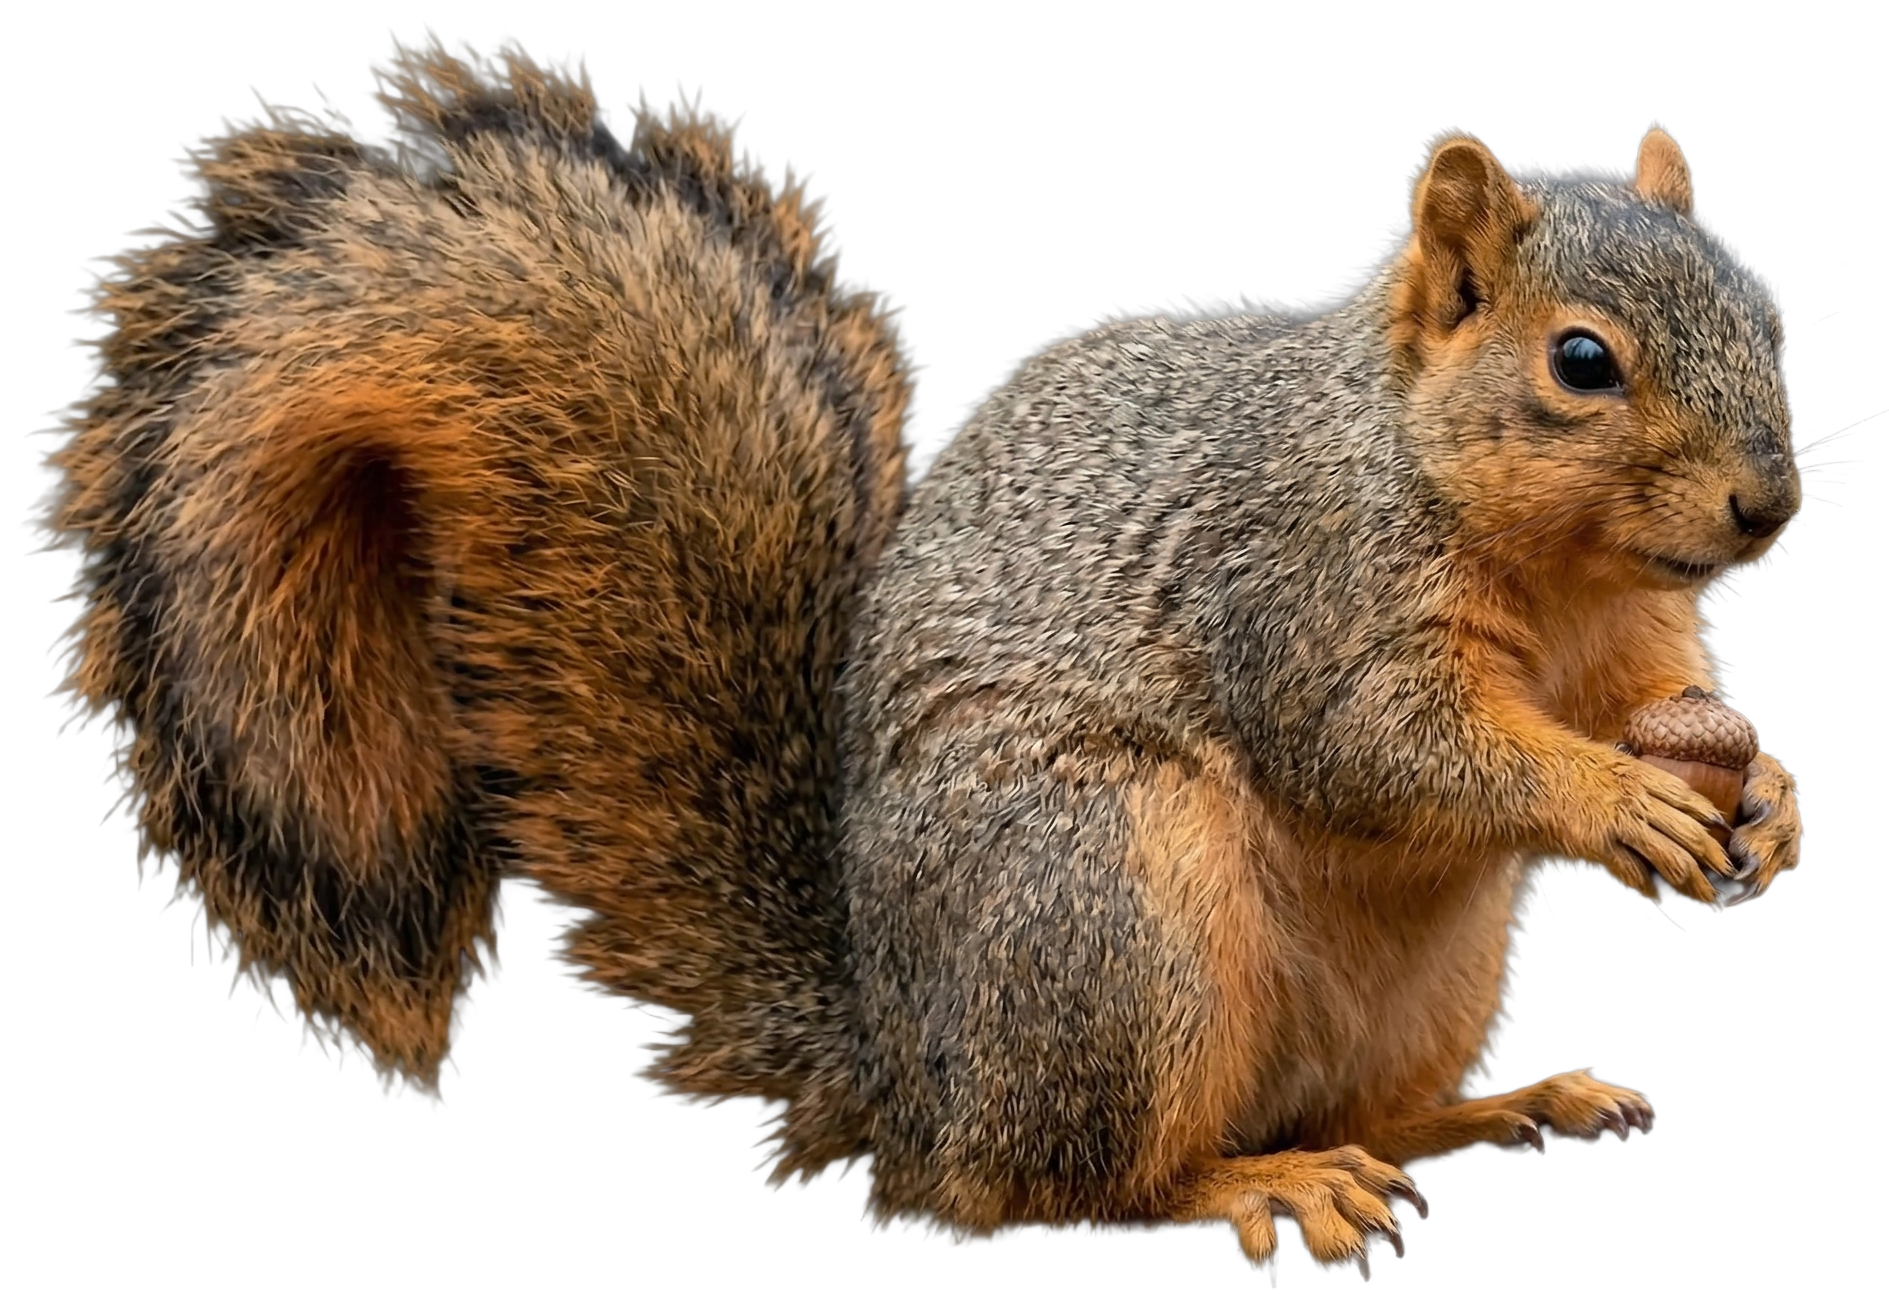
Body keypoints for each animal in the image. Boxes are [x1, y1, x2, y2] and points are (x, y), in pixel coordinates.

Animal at [39, 39, 1806, 1275]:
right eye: (1580, 361)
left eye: (1771, 319)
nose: (1767, 501)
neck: (1547, 557)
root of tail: (907, 1076)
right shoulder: (1294, 588)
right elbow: (1382, 738)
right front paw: (1611, 800)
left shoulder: (1637, 639)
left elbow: (1661, 708)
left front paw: (1770, 796)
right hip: (1104, 902)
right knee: (1059, 1190)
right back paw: (1262, 1179)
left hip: (1426, 971)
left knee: (1362, 1104)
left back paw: (1503, 1108)